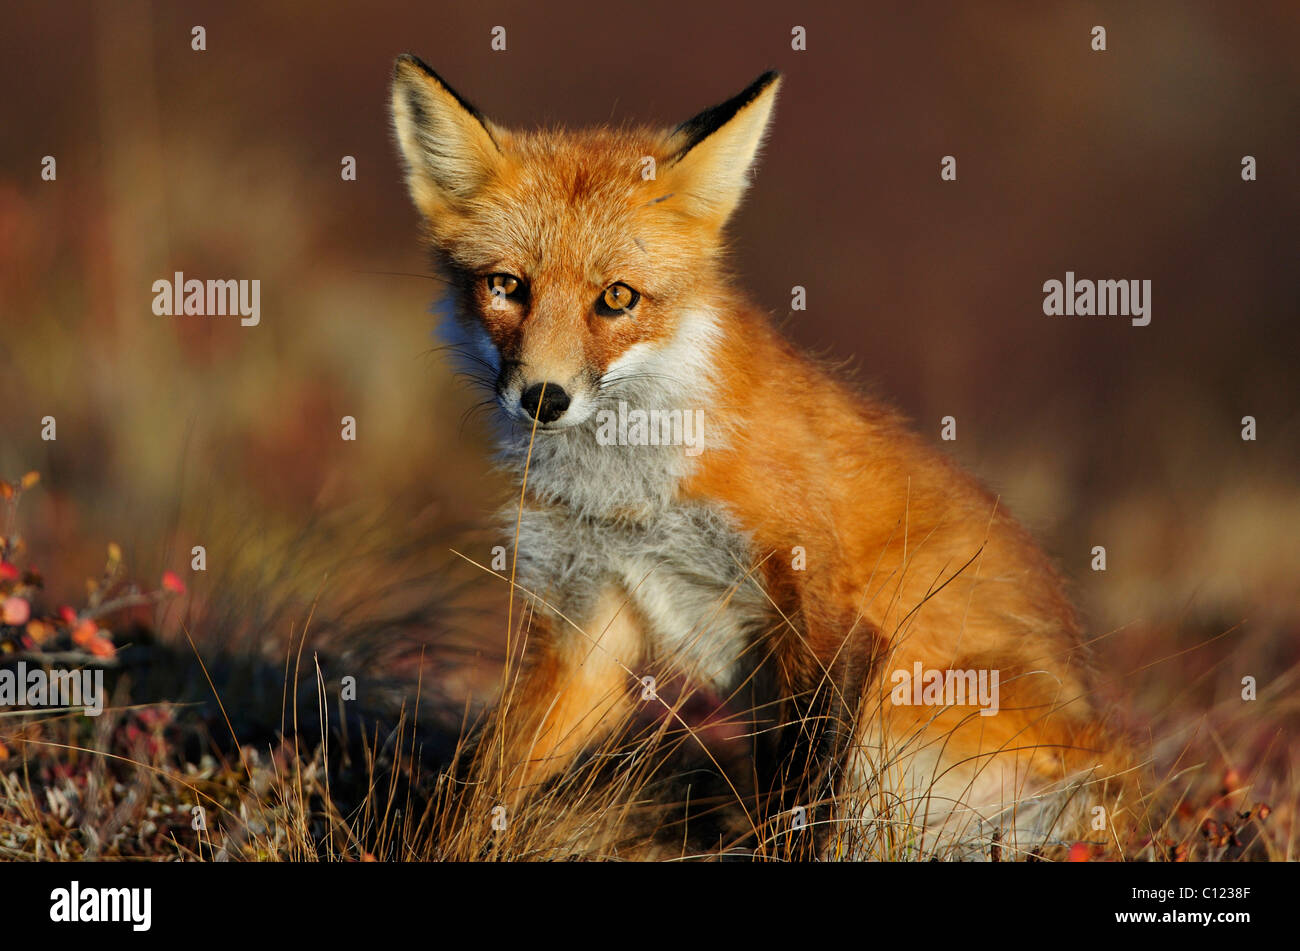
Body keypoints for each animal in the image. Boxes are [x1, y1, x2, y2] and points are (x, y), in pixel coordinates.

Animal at [387, 57, 1138, 862]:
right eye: (506, 286)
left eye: (616, 298)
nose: (543, 398)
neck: (632, 495)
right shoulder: (589, 619)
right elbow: (481, 790)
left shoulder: (826, 607)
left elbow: (802, 801)